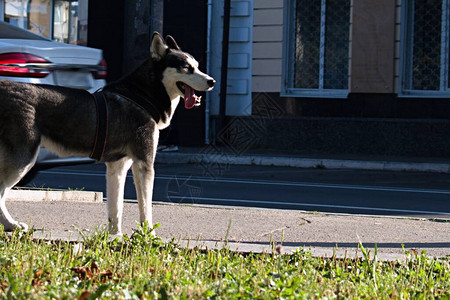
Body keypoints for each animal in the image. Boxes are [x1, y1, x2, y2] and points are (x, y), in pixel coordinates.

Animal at [0, 32, 216, 234]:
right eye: (186, 68)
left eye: (198, 66)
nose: (212, 81)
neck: (141, 96)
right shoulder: (144, 164)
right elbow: (146, 209)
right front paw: (149, 235)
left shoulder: (117, 167)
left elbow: (116, 210)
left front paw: (115, 236)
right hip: (23, 161)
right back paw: (11, 224)